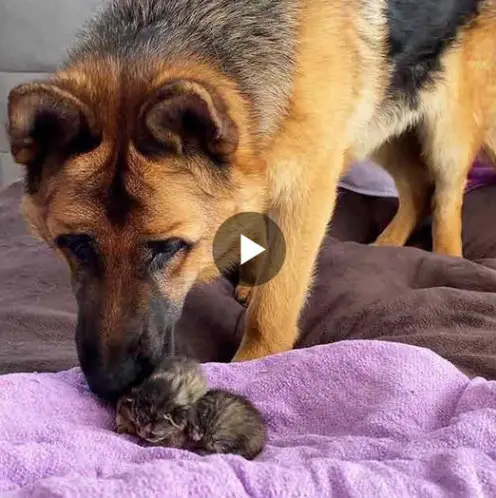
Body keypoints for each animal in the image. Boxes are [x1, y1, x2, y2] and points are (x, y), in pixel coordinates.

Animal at [5, 0, 496, 398]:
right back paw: (387, 243)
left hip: (445, 131)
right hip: (382, 120)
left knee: (446, 197)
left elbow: (275, 302)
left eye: (169, 248)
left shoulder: (309, 187)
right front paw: (250, 277)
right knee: (416, 187)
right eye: (76, 245)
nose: (112, 385)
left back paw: (449, 258)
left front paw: (253, 365)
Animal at [115, 358, 268, 460]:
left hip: (220, 434)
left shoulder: (176, 439)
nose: (141, 433)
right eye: (138, 423)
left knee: (222, 453)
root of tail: (259, 441)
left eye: (152, 433)